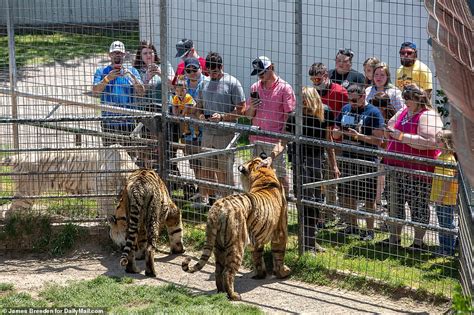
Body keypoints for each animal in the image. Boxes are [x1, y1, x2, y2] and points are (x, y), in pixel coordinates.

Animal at [183, 156, 290, 302]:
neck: (263, 177)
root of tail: (216, 209)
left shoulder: (256, 239)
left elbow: (257, 258)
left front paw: (261, 275)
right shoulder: (281, 233)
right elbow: (279, 255)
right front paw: (283, 273)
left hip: (218, 246)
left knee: (218, 270)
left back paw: (221, 292)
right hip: (236, 246)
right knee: (228, 272)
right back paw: (233, 295)